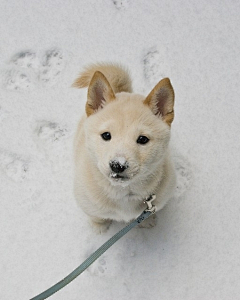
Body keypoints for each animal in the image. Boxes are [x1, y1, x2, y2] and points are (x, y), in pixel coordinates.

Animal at [72, 62, 175, 232]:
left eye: (142, 139)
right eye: (106, 135)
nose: (117, 165)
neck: (124, 193)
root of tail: (123, 92)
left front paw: (147, 221)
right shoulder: (87, 202)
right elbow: (96, 216)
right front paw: (100, 227)